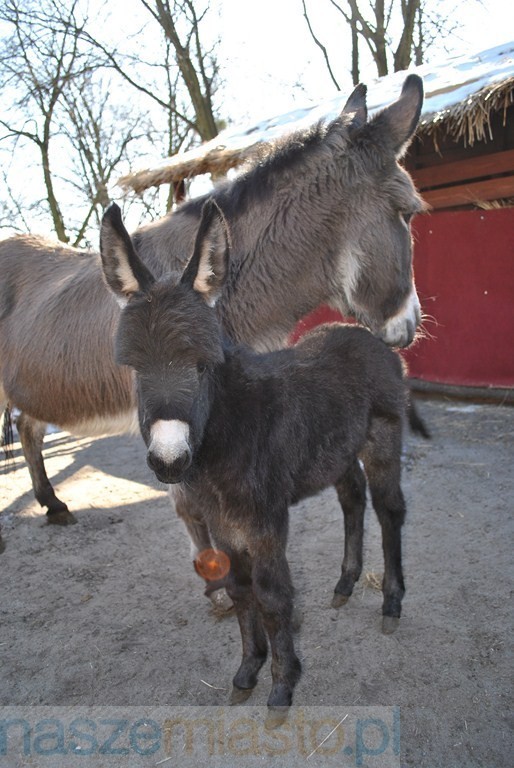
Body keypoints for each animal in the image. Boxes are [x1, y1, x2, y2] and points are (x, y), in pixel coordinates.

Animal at [98, 200, 406, 712]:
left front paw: (283, 684)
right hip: (336, 451)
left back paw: (392, 602)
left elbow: (273, 596)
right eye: (135, 370)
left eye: (203, 366)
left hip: (383, 438)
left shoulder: (264, 520)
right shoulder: (222, 522)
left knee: (389, 510)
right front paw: (248, 669)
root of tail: (361, 333)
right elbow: (240, 591)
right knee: (352, 499)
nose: (169, 461)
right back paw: (345, 584)